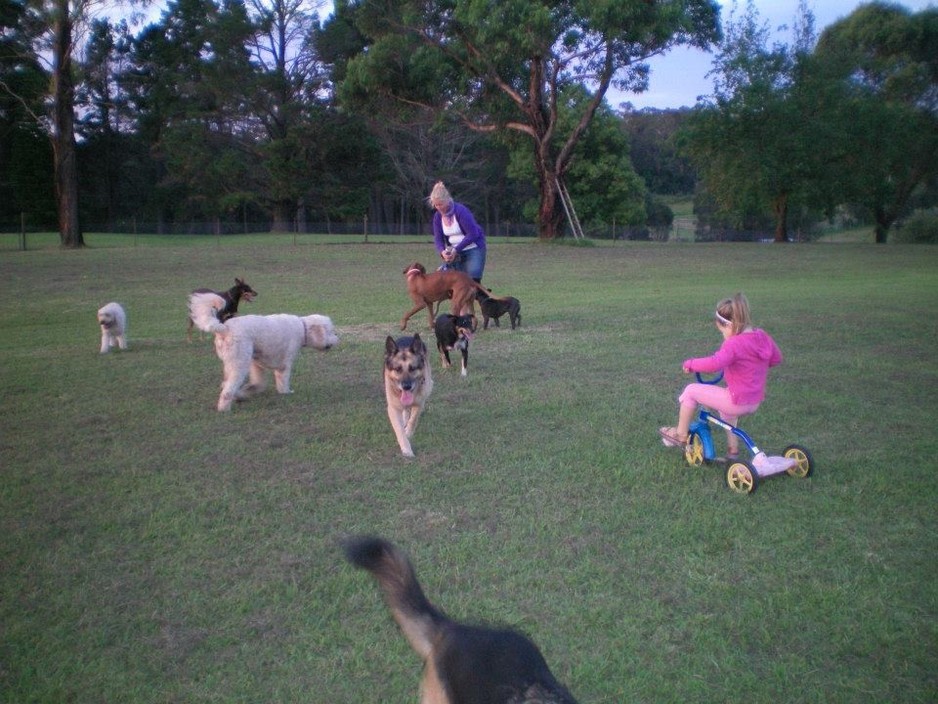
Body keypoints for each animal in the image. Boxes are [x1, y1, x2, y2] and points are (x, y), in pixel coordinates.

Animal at [188, 292, 338, 412]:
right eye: (330, 331)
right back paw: (224, 409)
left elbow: (258, 383)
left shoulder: (256, 364)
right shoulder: (285, 365)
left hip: (232, 364)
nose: (337, 338)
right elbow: (283, 382)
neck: (303, 328)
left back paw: (237, 397)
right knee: (227, 390)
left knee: (225, 384)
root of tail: (224, 328)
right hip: (239, 364)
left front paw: (248, 391)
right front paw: (286, 393)